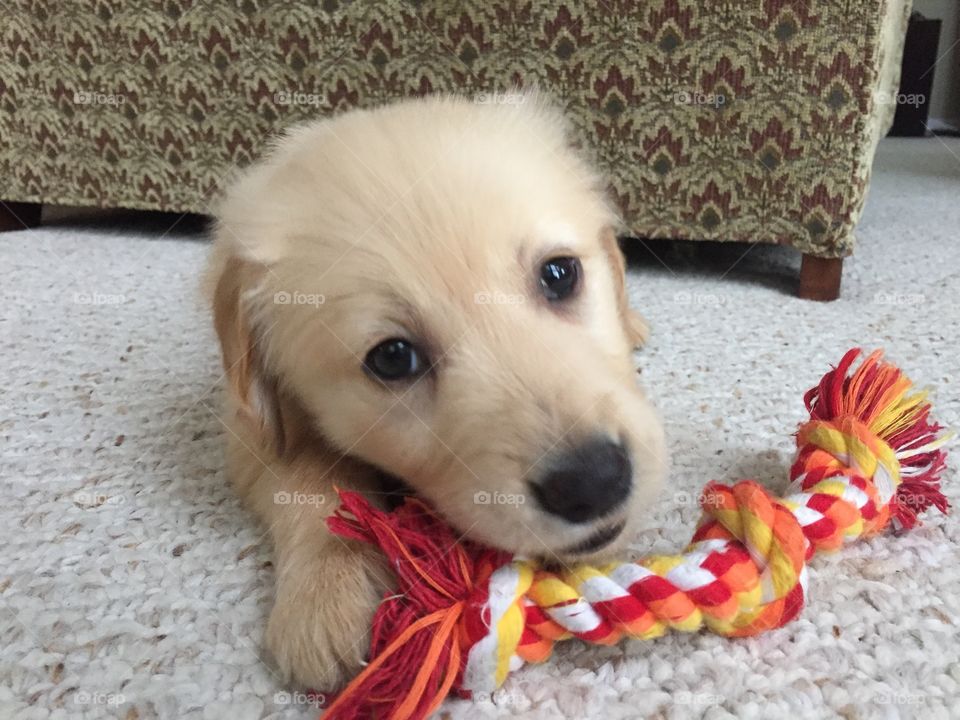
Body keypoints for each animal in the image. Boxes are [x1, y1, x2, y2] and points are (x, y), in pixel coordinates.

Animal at [206, 95, 664, 692]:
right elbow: (305, 476)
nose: (594, 481)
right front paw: (328, 593)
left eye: (560, 274)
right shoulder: (249, 432)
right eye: (394, 358)